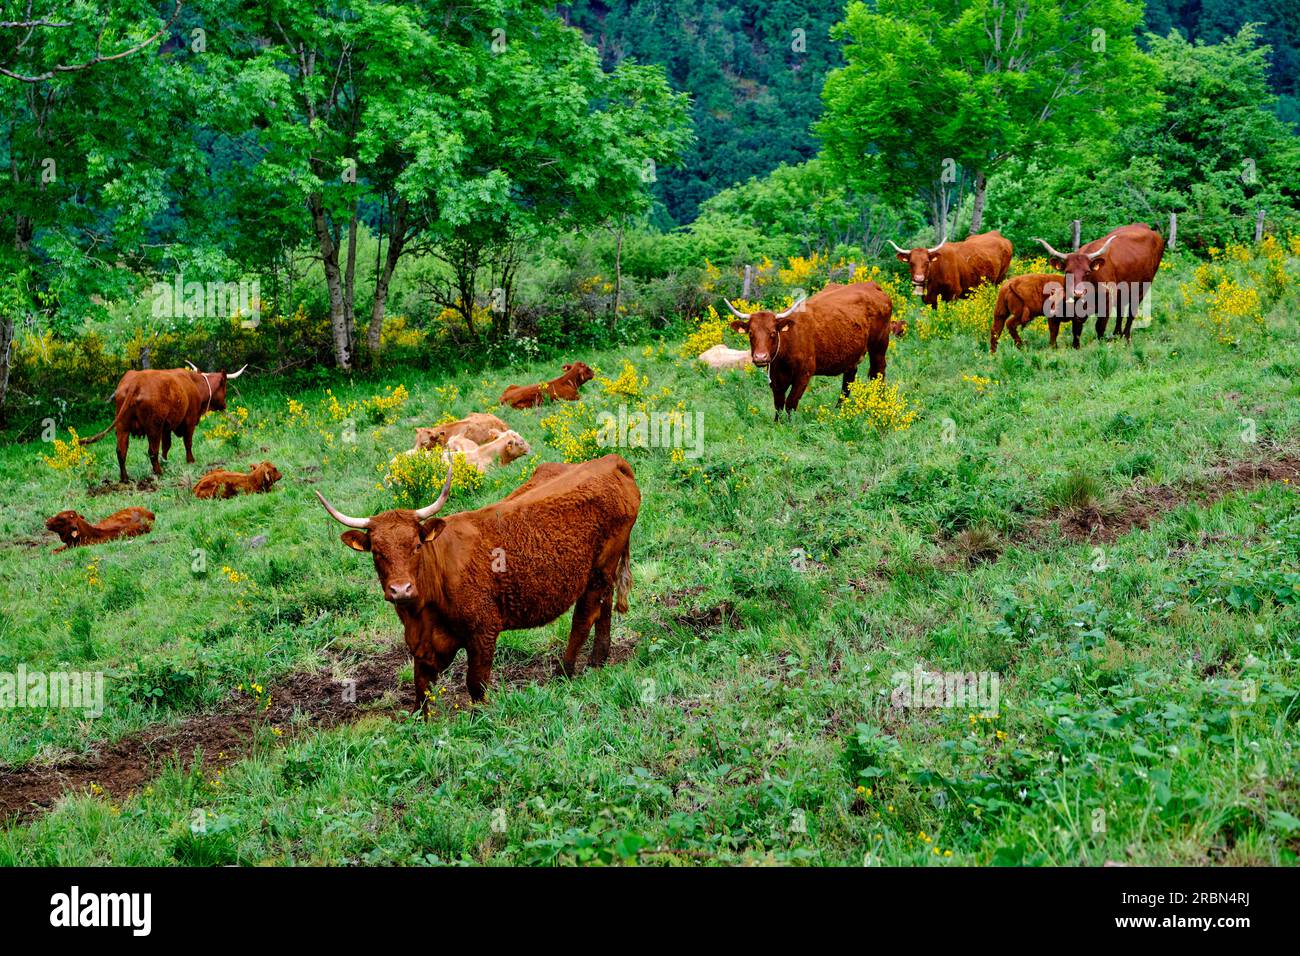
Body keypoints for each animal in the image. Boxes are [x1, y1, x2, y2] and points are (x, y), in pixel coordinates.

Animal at [78, 361, 245, 481]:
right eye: (224, 388)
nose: (224, 405)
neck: (194, 383)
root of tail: (136, 381)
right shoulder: (189, 421)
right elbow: (187, 443)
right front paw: (190, 460)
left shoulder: (166, 427)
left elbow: (167, 446)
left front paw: (166, 461)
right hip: (153, 427)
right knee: (152, 451)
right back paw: (158, 472)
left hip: (123, 426)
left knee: (121, 451)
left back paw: (125, 478)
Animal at [314, 452, 639, 707]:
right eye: (377, 552)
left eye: (416, 545)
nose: (401, 589)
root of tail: (611, 460)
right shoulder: (422, 646)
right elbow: (421, 691)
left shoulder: (484, 631)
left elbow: (476, 684)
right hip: (604, 570)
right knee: (604, 607)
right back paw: (598, 661)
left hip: (599, 568)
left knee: (584, 617)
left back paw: (564, 672)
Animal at [722, 280, 894, 421]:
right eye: (751, 333)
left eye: (773, 333)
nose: (760, 357)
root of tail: (870, 285)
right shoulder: (775, 378)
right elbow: (778, 403)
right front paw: (777, 424)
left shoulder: (804, 373)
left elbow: (791, 402)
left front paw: (789, 425)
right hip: (851, 353)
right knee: (848, 380)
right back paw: (839, 409)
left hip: (879, 345)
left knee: (878, 372)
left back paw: (879, 403)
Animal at [883, 231, 1013, 308]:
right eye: (911, 262)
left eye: (927, 262)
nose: (919, 278)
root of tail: (996, 234)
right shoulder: (930, 300)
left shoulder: (953, 294)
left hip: (999, 280)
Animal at [1034, 222, 1170, 343]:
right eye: (1068, 271)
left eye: (1087, 272)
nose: (1078, 292)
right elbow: (1076, 329)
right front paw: (1075, 347)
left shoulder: (1106, 304)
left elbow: (1099, 327)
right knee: (1120, 310)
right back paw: (1116, 334)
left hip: (1143, 287)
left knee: (1131, 312)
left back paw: (1126, 338)